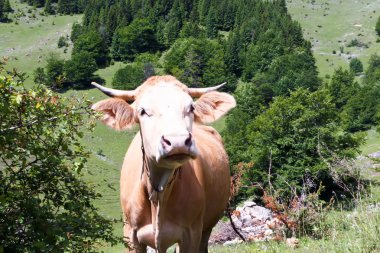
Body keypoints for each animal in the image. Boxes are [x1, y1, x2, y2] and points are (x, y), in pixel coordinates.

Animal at [91, 75, 235, 253]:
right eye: (142, 111)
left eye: (191, 108)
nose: (178, 141)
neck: (159, 192)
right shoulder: (131, 235)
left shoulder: (191, 233)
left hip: (206, 228)